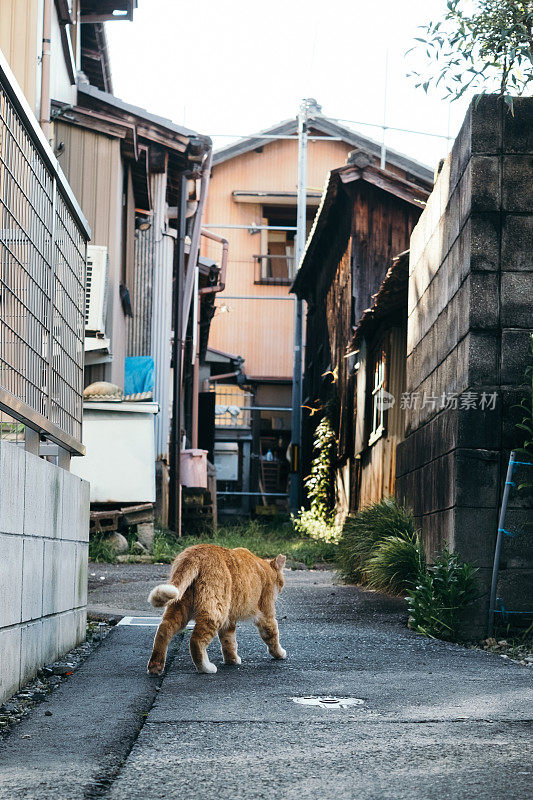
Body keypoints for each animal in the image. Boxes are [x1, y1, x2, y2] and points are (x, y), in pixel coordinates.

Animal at [145, 544, 286, 676]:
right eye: (281, 582)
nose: (280, 590)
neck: (265, 568)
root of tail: (193, 553)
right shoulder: (266, 615)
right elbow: (272, 636)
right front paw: (280, 654)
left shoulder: (229, 621)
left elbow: (229, 642)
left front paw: (232, 660)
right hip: (215, 613)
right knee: (196, 640)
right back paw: (205, 668)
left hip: (180, 608)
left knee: (164, 630)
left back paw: (155, 666)